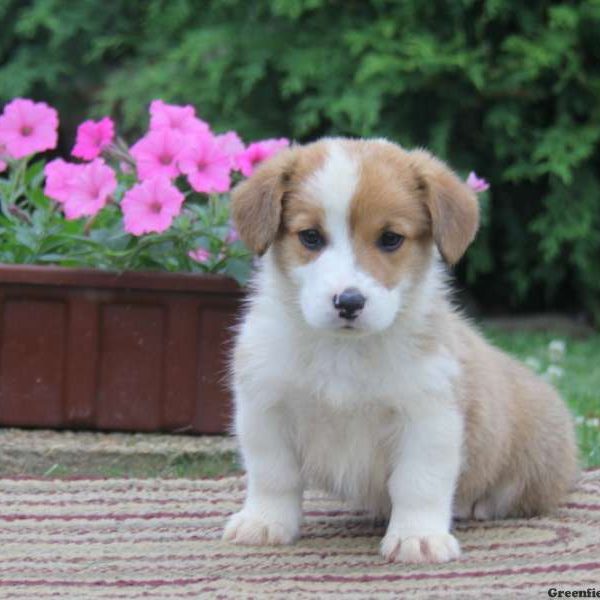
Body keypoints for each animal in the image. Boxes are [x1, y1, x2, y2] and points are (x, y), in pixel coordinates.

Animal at [223, 139, 580, 564]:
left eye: (390, 238)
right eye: (310, 237)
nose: (349, 302)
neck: (344, 351)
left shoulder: (428, 416)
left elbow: (418, 483)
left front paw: (418, 537)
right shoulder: (265, 407)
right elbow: (272, 474)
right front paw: (264, 523)